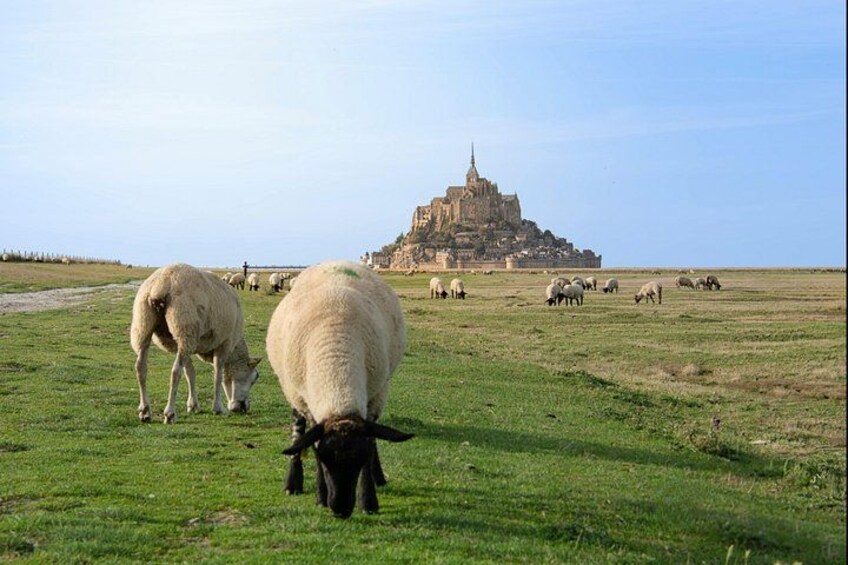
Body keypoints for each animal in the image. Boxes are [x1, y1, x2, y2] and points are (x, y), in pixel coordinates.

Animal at [130, 263, 262, 424]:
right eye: (254, 378)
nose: (244, 407)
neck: (234, 351)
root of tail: (161, 284)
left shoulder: (183, 345)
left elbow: (191, 373)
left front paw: (193, 405)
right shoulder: (224, 344)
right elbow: (218, 375)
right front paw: (218, 408)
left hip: (145, 325)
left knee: (141, 367)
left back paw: (145, 412)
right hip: (185, 327)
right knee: (175, 372)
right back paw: (170, 413)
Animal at [265, 260, 414, 518]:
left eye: (359, 460)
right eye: (325, 460)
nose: (341, 510)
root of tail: (336, 262)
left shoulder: (374, 397)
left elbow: (372, 442)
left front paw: (368, 501)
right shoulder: (310, 405)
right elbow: (310, 439)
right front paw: (320, 497)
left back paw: (379, 478)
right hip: (294, 391)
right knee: (298, 430)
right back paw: (293, 483)